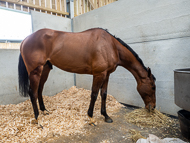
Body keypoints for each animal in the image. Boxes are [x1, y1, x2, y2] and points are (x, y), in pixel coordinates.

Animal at [18, 27, 156, 124]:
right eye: (153, 87)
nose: (153, 107)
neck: (111, 46)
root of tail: (25, 39)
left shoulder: (106, 75)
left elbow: (104, 94)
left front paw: (106, 116)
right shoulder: (99, 74)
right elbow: (94, 94)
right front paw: (90, 117)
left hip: (45, 69)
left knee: (39, 89)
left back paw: (44, 110)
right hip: (35, 71)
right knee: (33, 92)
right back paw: (37, 118)